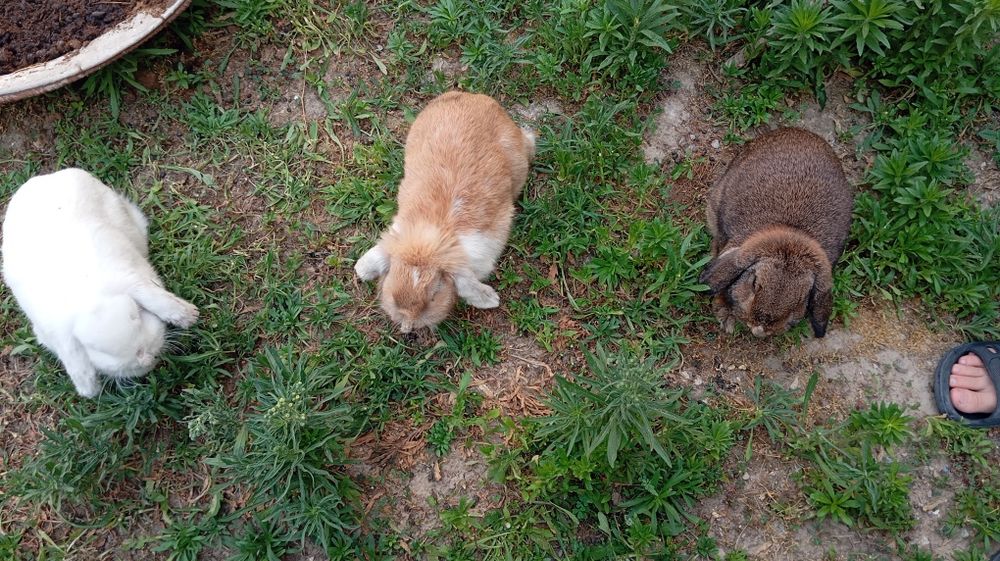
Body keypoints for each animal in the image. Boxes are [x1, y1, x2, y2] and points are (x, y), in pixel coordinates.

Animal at [1, 168, 199, 398]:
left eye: (137, 316)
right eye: (98, 350)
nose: (145, 356)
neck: (87, 298)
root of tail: (41, 179)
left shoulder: (134, 281)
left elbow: (159, 301)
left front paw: (189, 316)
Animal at [700, 127, 853, 338]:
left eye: (801, 301)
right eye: (754, 283)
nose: (759, 329)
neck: (793, 233)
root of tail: (799, 131)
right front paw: (725, 316)